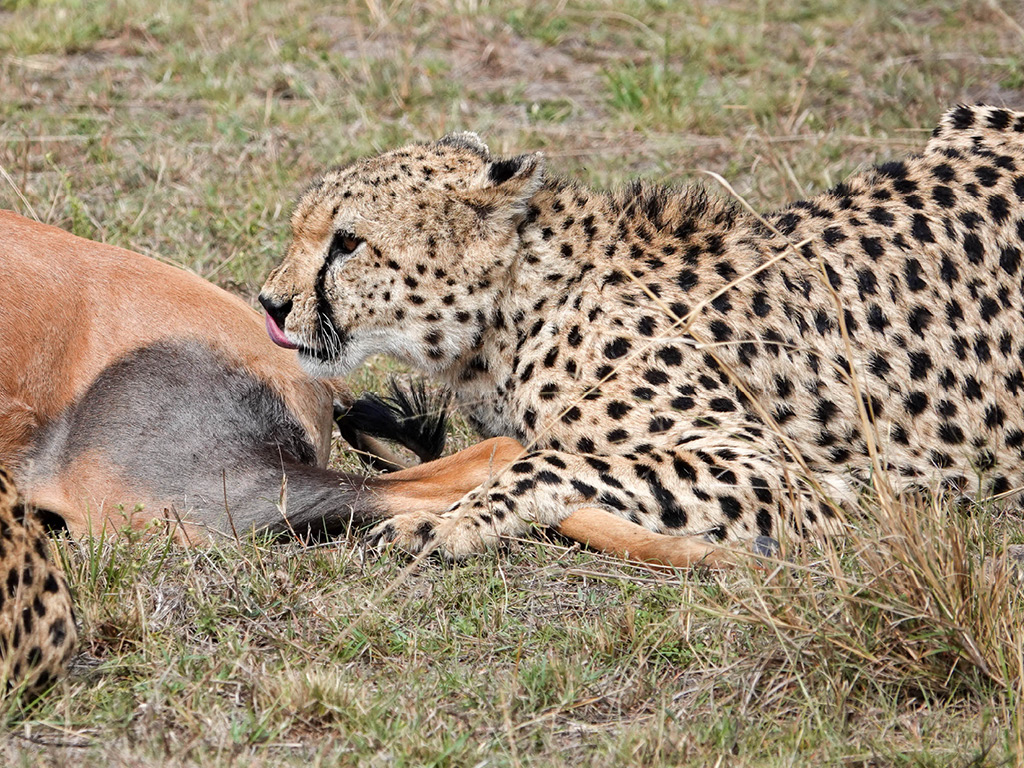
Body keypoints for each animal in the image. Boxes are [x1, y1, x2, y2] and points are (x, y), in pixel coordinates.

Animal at [260, 105, 1024, 561]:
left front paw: (446, 522)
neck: (517, 312)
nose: (269, 303)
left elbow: (548, 459)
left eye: (349, 243)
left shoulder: (800, 479)